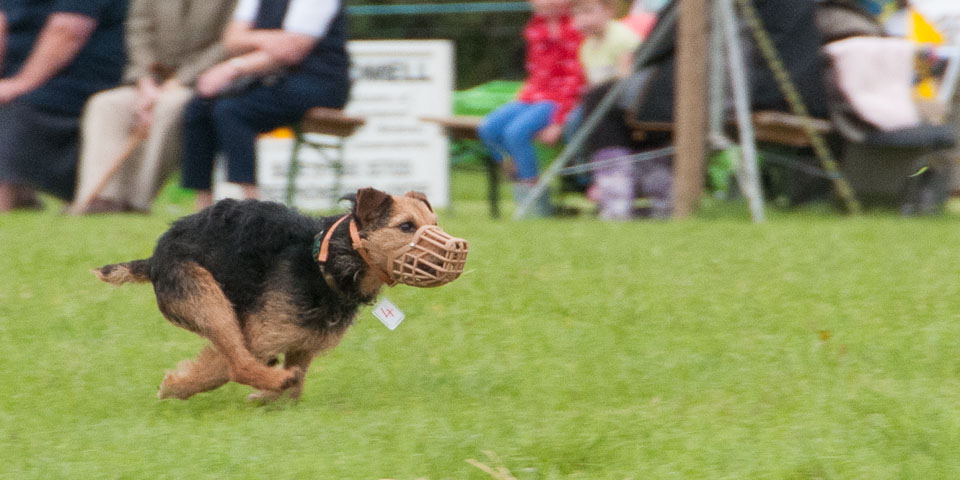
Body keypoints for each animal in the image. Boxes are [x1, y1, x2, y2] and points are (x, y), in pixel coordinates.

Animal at [92, 188, 466, 402]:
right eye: (406, 226)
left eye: (434, 223)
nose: (460, 248)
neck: (325, 263)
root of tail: (155, 257)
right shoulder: (259, 336)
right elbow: (224, 368)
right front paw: (175, 385)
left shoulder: (304, 344)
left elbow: (294, 386)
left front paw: (271, 398)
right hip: (208, 298)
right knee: (240, 363)